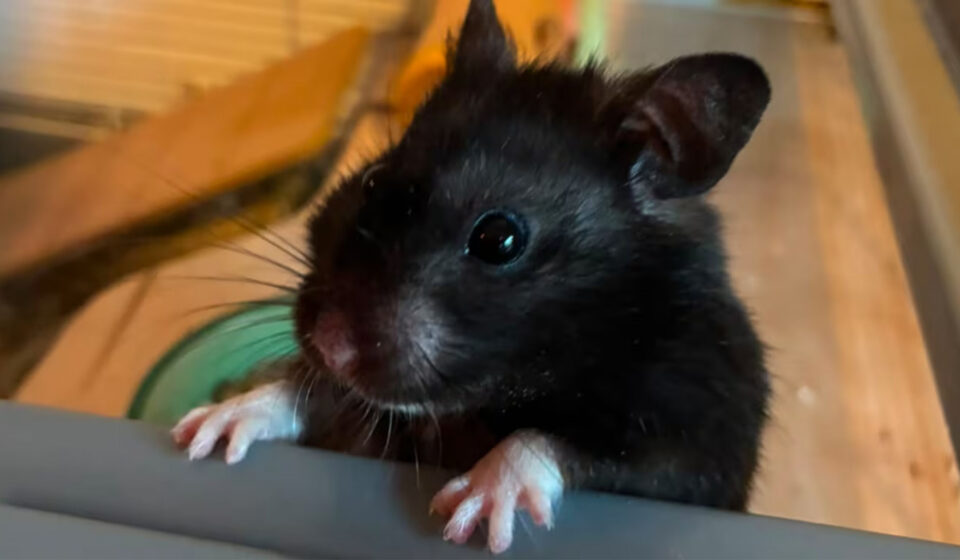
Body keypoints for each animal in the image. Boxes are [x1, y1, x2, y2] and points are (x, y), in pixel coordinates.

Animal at [172, 0, 772, 553]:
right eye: (371, 182)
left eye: (498, 239)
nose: (332, 346)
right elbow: (309, 393)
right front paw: (206, 432)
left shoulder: (695, 440)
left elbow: (555, 443)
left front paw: (467, 517)